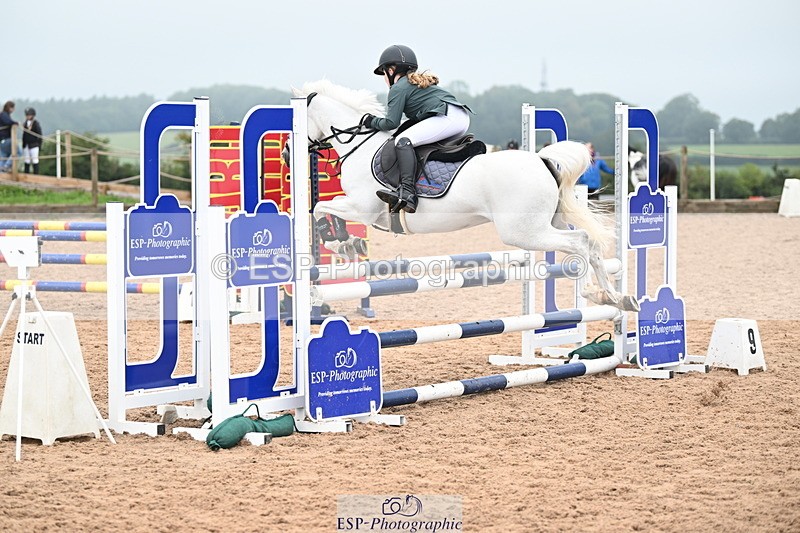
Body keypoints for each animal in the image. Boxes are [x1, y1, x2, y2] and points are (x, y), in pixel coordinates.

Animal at [292, 80, 638, 312]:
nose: (285, 153)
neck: (360, 146)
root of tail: (542, 160)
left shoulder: (362, 208)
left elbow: (320, 208)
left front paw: (339, 240)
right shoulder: (362, 211)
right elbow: (326, 210)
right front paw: (346, 242)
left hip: (524, 231)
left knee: (579, 242)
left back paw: (594, 293)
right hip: (548, 222)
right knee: (590, 244)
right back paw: (616, 298)